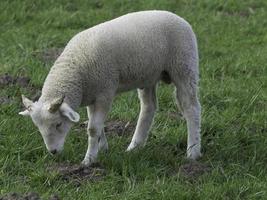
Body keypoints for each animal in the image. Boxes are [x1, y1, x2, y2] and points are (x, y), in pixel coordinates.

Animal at [19, 10, 202, 166]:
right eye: (38, 127)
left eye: (58, 124)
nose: (53, 152)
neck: (75, 72)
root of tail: (179, 17)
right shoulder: (91, 96)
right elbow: (97, 125)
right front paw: (103, 148)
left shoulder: (105, 92)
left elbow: (93, 128)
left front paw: (89, 160)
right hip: (148, 75)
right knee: (149, 107)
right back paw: (135, 146)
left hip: (184, 66)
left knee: (191, 108)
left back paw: (192, 152)